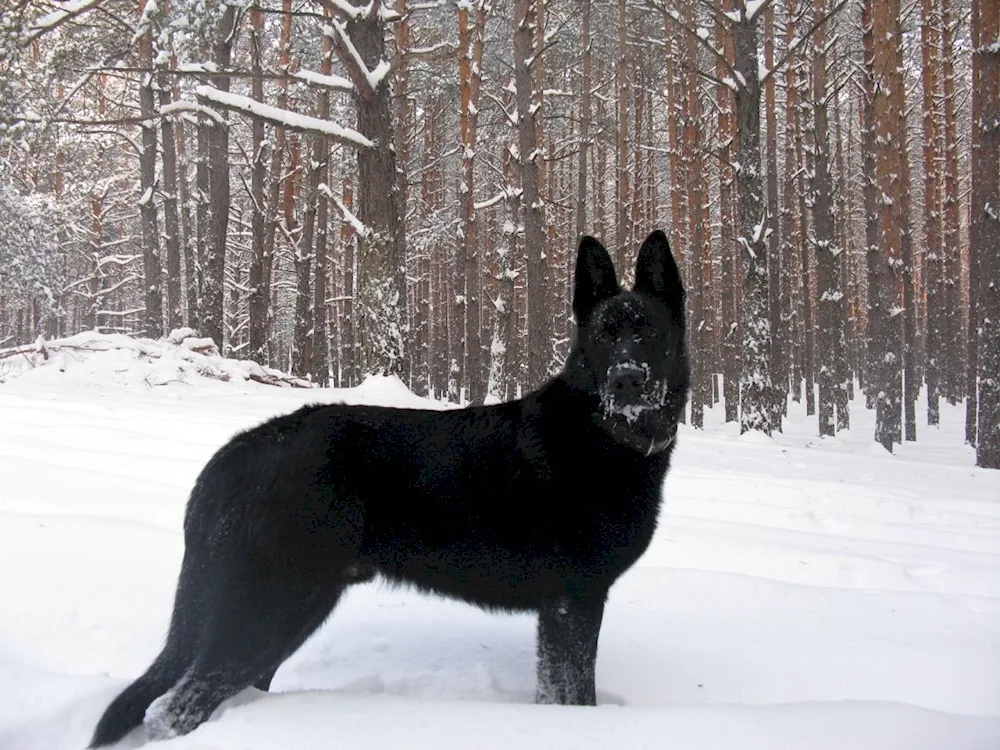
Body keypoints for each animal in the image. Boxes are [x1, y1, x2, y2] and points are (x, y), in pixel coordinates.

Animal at [92, 229, 688, 748]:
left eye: (649, 332)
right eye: (605, 336)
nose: (627, 380)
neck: (604, 434)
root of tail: (234, 453)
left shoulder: (566, 609)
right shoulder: (573, 603)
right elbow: (574, 695)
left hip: (296, 609)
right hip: (267, 606)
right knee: (174, 708)